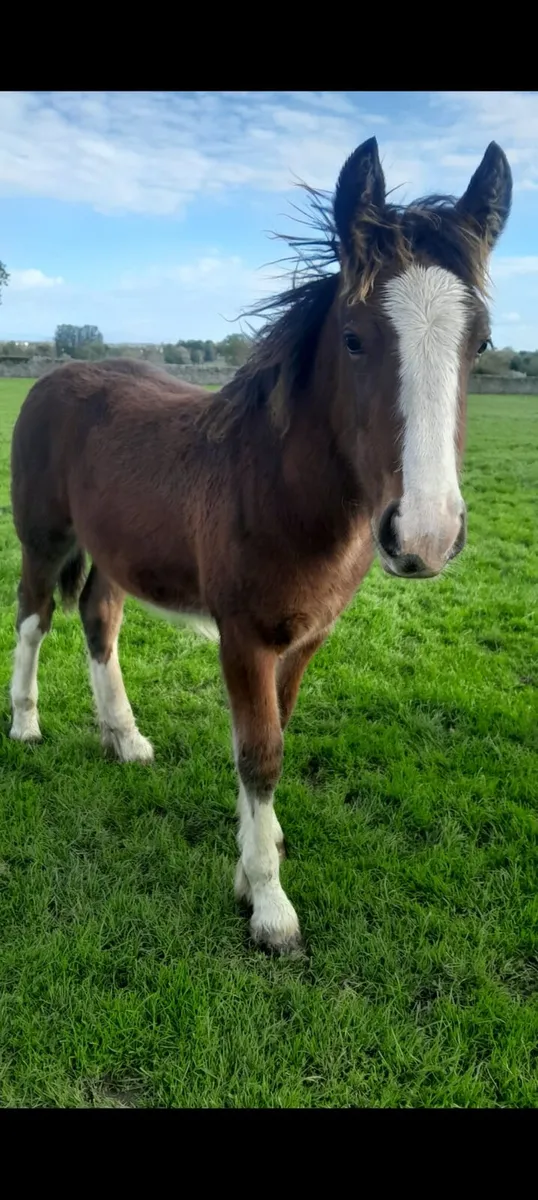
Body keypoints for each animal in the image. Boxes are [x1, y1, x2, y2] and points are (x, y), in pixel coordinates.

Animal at [9, 136, 512, 954]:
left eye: (482, 343)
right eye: (353, 339)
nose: (426, 536)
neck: (277, 487)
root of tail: (59, 376)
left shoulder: (304, 640)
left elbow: (274, 736)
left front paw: (257, 856)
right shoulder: (243, 637)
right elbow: (260, 754)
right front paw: (270, 905)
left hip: (114, 551)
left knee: (98, 619)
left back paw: (124, 737)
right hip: (43, 537)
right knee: (34, 616)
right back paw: (25, 723)